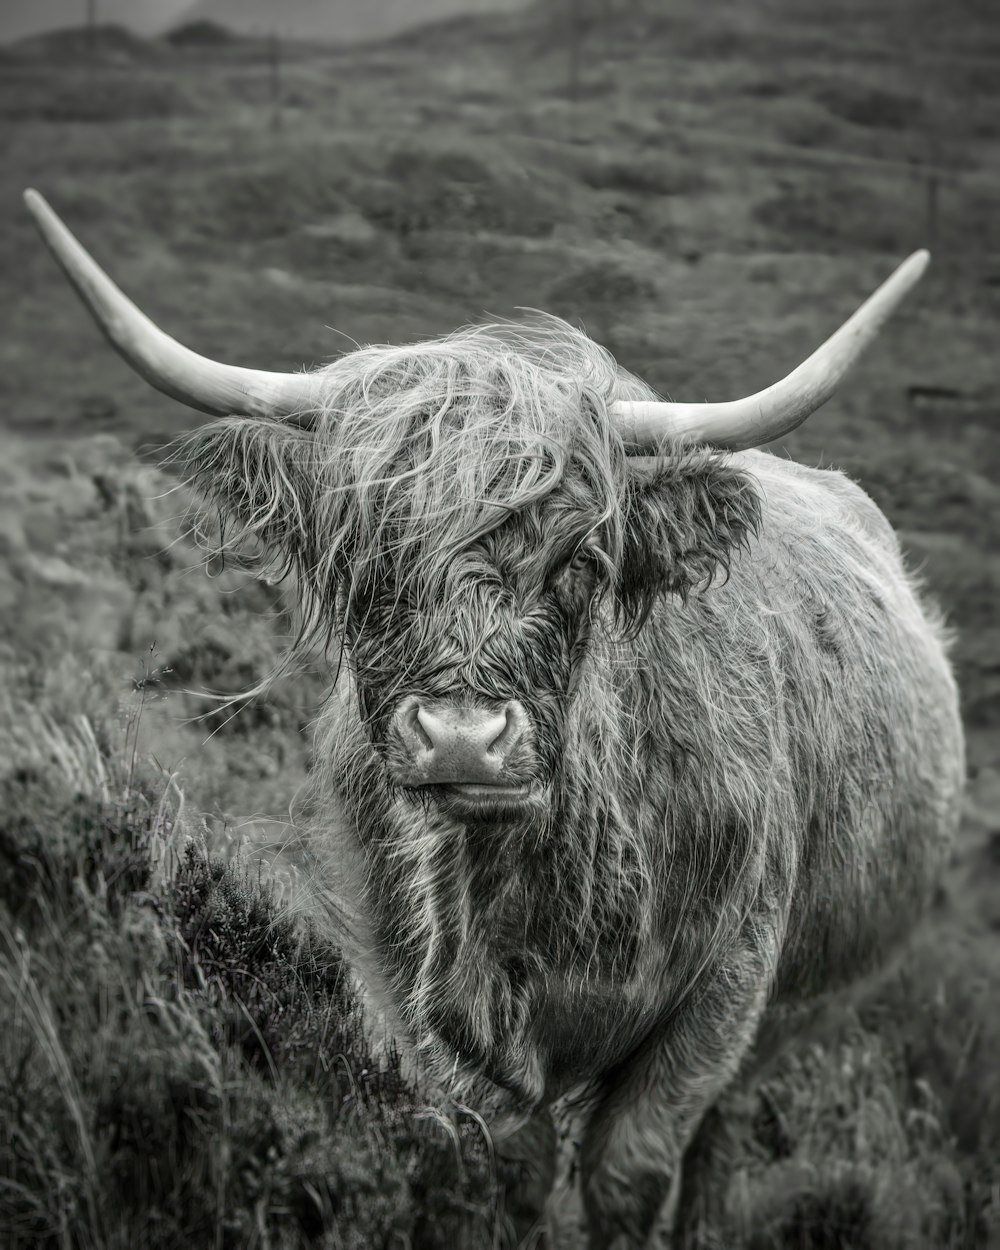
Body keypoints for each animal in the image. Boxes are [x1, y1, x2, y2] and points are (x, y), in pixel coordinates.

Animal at [25, 187, 960, 1250]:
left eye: (582, 561)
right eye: (364, 560)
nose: (463, 739)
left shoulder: (725, 988)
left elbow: (633, 1168)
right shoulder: (416, 994)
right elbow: (509, 1164)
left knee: (721, 1142)